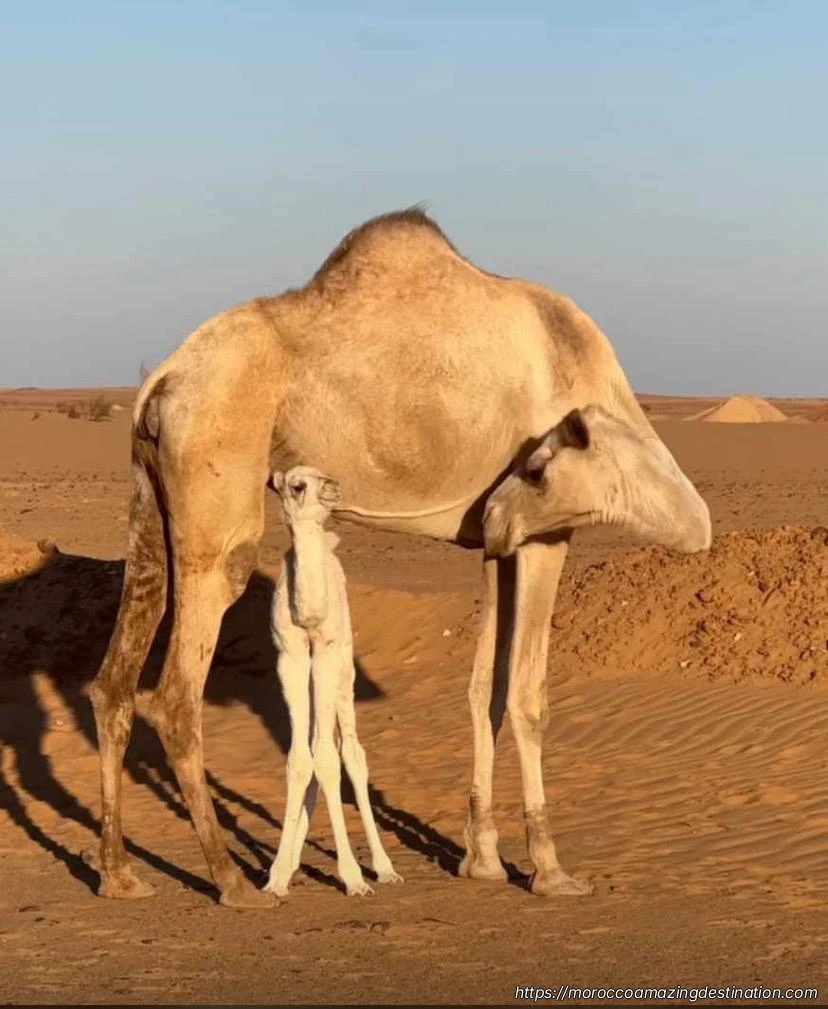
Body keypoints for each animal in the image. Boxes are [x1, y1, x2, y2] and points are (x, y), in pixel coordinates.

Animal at [265, 465, 403, 897]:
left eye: (322, 473)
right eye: (297, 485)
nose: (334, 488)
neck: (308, 611)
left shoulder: (325, 654)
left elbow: (328, 757)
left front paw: (354, 877)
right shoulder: (290, 658)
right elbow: (299, 759)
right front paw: (275, 876)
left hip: (344, 668)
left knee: (352, 754)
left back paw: (385, 868)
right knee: (312, 744)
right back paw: (289, 864)